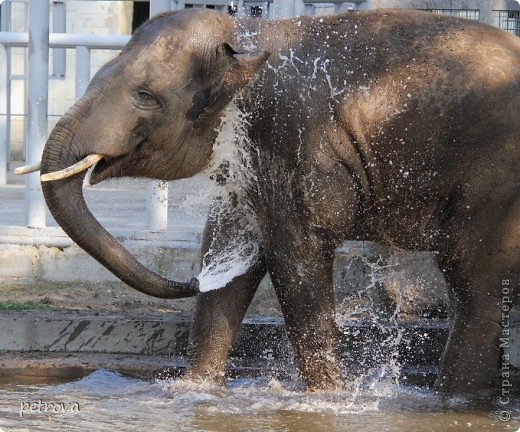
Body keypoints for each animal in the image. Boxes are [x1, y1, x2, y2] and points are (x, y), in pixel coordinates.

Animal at [18, 8, 516, 396]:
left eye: (144, 97)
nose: (190, 281)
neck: (250, 35)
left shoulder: (293, 139)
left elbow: (293, 256)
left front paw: (329, 399)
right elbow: (230, 248)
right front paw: (191, 393)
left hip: (494, 180)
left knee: (473, 281)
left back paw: (452, 400)